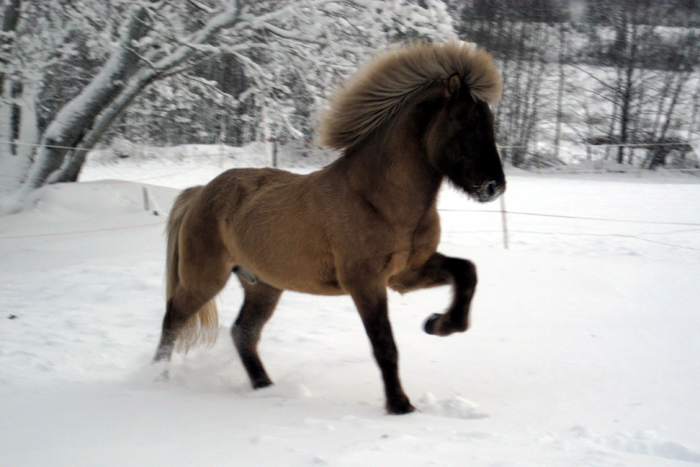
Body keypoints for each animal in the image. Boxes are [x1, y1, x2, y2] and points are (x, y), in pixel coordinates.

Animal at [153, 40, 505, 414]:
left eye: (489, 122)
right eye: (466, 122)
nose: (494, 186)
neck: (377, 199)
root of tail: (200, 193)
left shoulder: (405, 274)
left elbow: (467, 272)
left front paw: (438, 324)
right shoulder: (365, 282)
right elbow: (384, 345)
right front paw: (400, 405)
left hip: (263, 286)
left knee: (242, 332)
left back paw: (265, 388)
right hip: (206, 278)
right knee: (173, 318)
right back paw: (157, 379)